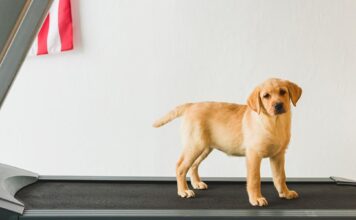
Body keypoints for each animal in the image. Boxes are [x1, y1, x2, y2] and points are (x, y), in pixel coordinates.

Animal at [154, 78, 302, 205]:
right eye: (266, 96)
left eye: (283, 92)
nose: (278, 105)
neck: (275, 123)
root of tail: (191, 105)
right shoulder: (254, 155)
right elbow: (255, 179)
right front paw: (256, 198)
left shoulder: (279, 155)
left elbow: (280, 176)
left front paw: (285, 193)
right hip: (194, 145)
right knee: (180, 167)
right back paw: (183, 191)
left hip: (204, 147)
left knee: (193, 165)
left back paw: (197, 183)